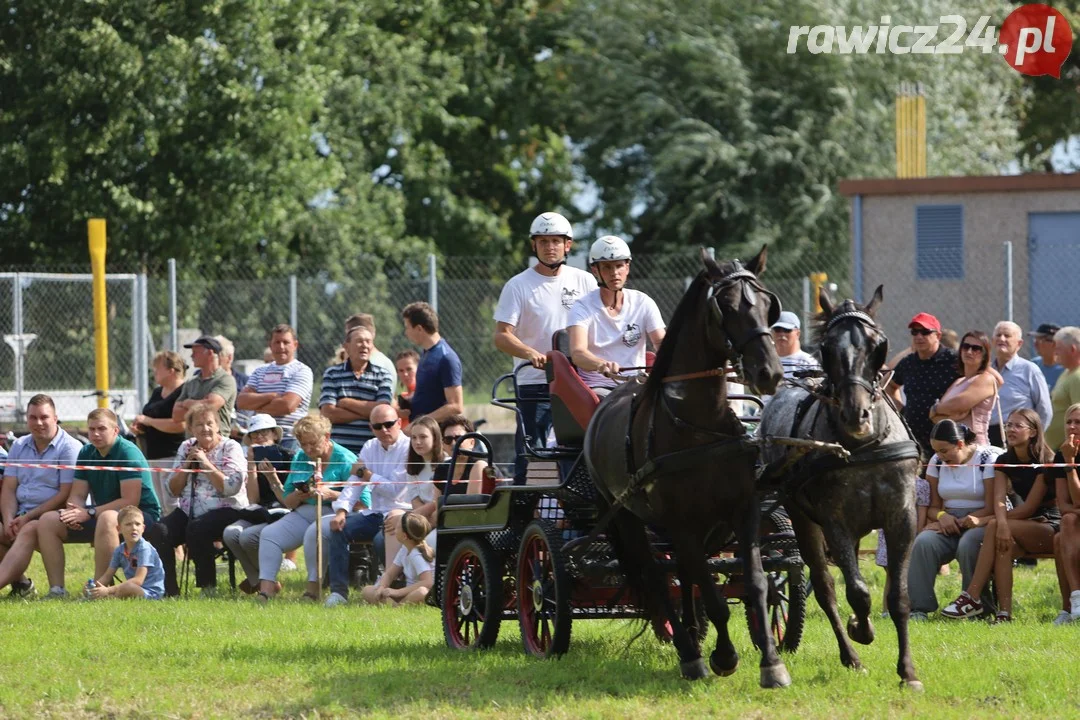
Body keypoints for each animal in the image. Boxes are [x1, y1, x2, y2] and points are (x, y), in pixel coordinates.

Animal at [587, 248, 790, 686]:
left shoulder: (742, 510)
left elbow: (755, 584)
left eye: (768, 304)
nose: (769, 372)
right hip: (627, 516)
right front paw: (724, 657)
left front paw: (771, 663)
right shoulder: (682, 523)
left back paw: (694, 637)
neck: (699, 425)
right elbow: (714, 598)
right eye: (725, 307)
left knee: (681, 572)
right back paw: (689, 652)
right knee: (656, 577)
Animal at [756, 287, 924, 690]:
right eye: (827, 348)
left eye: (878, 345)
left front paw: (908, 672)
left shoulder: (902, 517)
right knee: (825, 586)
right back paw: (850, 655)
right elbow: (857, 592)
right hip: (800, 518)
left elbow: (899, 596)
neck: (863, 447)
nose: (855, 414)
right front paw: (860, 629)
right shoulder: (835, 523)